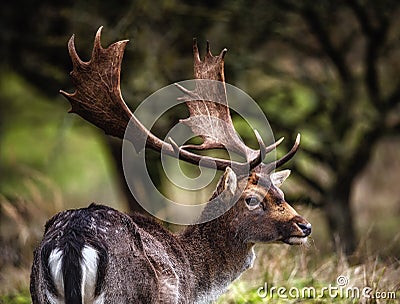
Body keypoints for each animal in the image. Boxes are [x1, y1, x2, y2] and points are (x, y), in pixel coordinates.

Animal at [31, 27, 312, 302]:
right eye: (251, 199)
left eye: (280, 192)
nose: (305, 226)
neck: (197, 284)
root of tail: (73, 241)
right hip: (127, 294)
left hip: (40, 292)